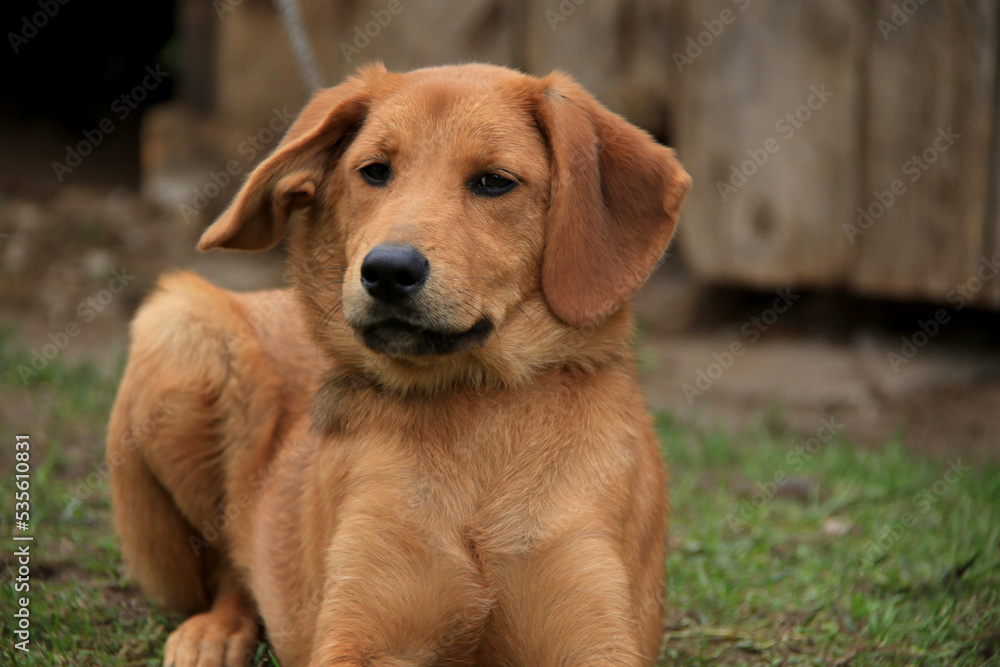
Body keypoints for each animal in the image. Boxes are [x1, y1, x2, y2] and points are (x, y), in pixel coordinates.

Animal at [107, 64, 688, 667]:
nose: (386, 270)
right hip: (177, 324)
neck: (475, 406)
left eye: (494, 181)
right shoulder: (358, 630)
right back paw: (214, 633)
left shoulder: (594, 631)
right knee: (230, 564)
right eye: (375, 171)